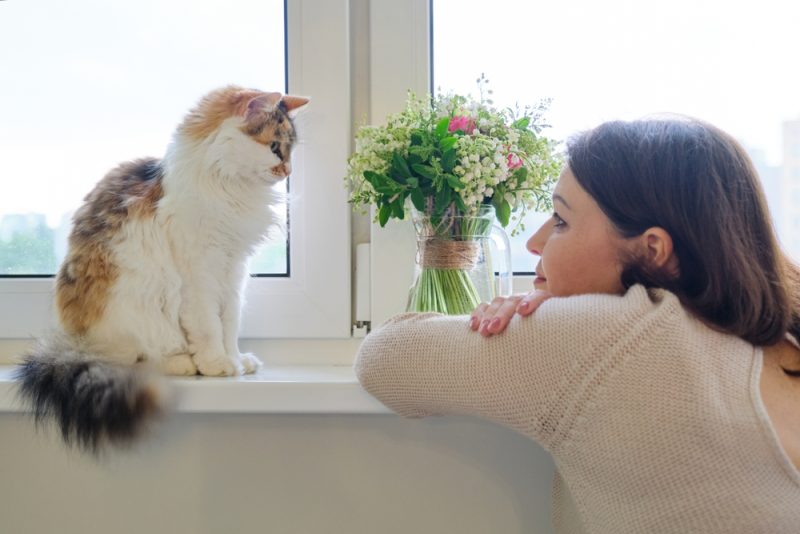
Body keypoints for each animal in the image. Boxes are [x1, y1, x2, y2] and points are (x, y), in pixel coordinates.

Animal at [16, 86, 310, 454]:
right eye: (273, 147)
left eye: (291, 149)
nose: (287, 171)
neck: (230, 190)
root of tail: (75, 343)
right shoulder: (200, 273)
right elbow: (210, 327)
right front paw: (216, 363)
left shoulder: (233, 271)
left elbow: (229, 325)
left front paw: (237, 360)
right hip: (136, 306)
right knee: (133, 359)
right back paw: (182, 362)